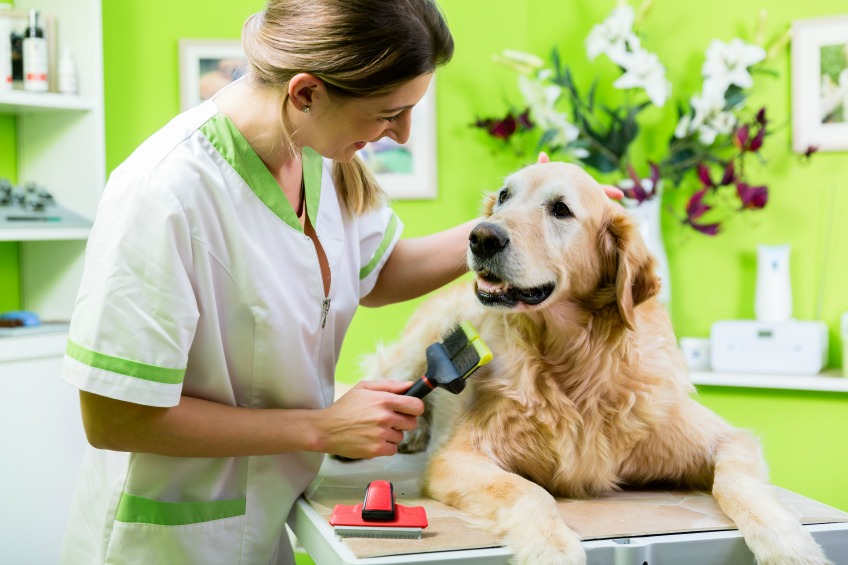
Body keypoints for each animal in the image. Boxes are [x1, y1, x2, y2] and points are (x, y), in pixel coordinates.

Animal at [362, 161, 828, 560]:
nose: (480, 237)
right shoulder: (457, 457)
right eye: (504, 196)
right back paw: (408, 431)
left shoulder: (727, 439)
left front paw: (789, 543)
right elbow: (527, 491)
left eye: (560, 209)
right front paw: (553, 549)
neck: (577, 362)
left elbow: (740, 485)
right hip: (420, 353)